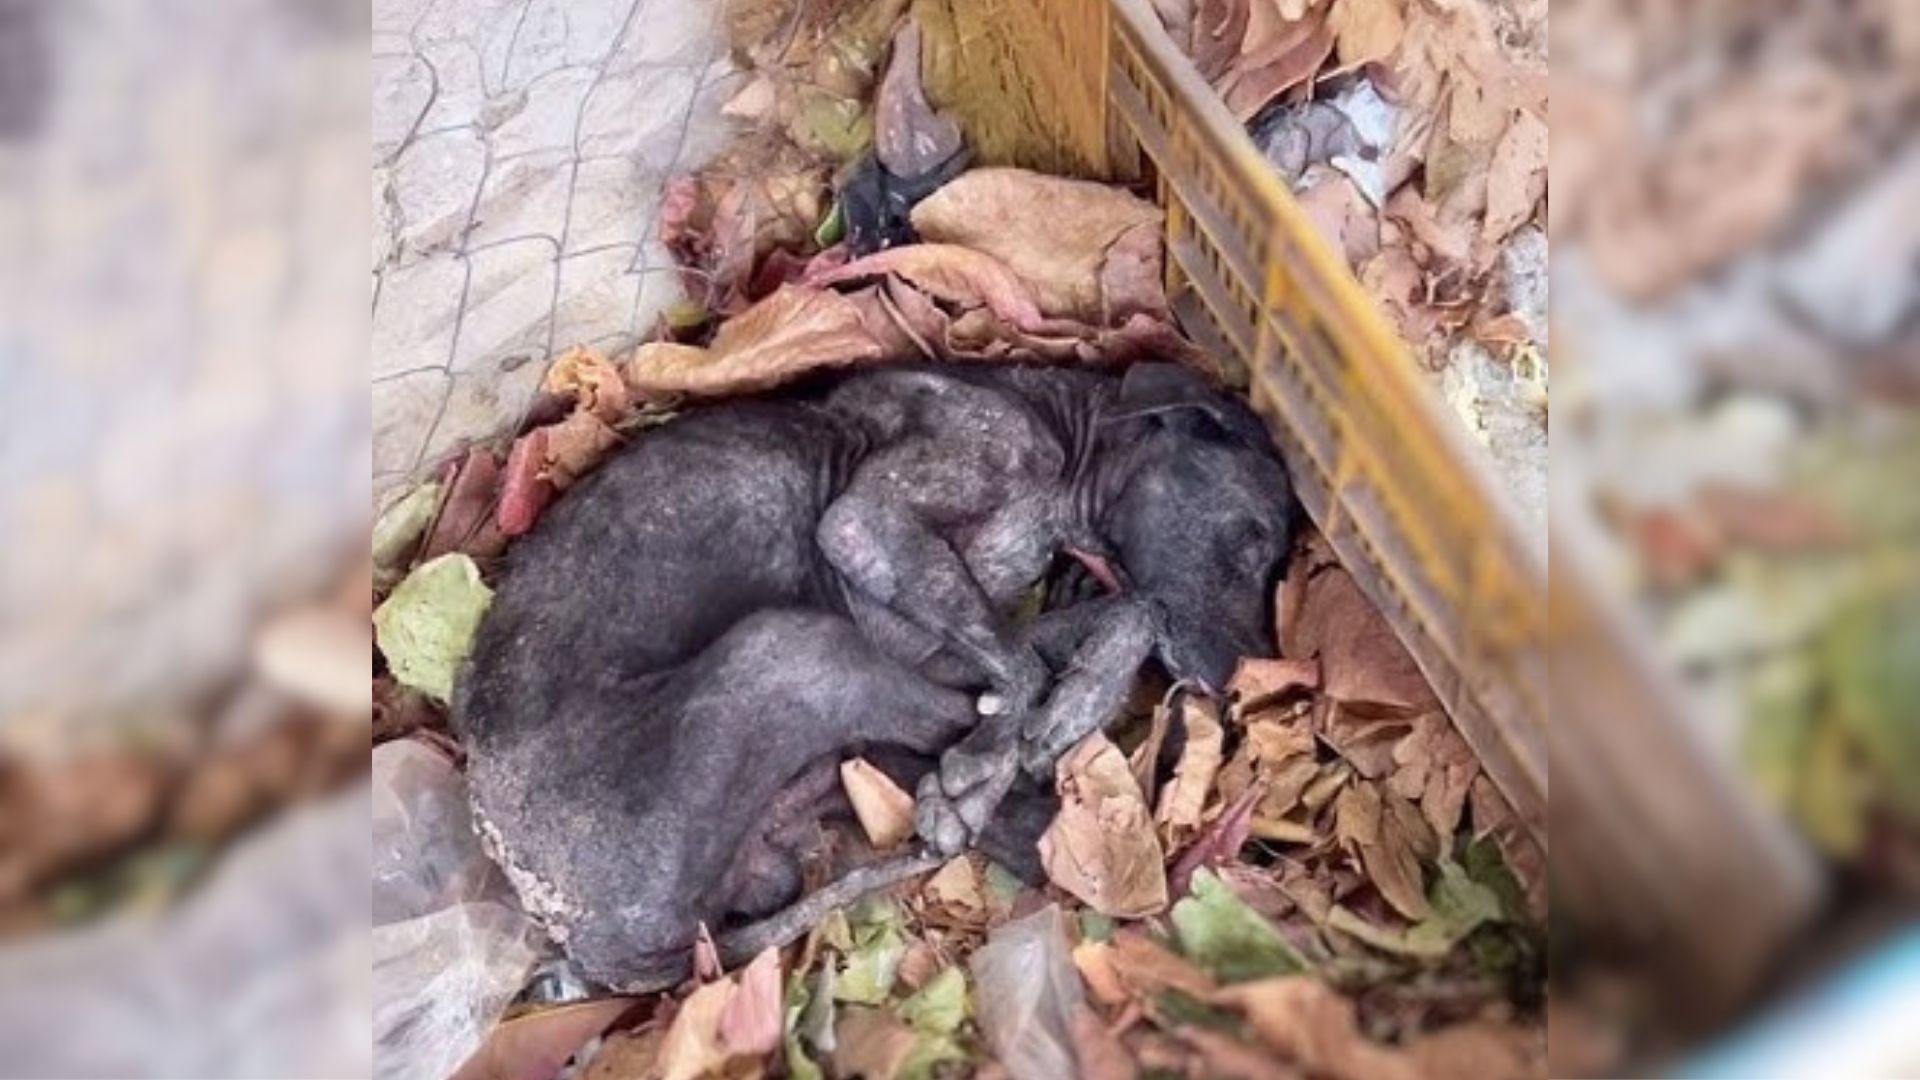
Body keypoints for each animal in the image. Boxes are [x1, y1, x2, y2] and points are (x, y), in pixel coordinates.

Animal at [451, 359, 1297, 983]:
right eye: (1255, 537)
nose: (1240, 686)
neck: (1065, 433)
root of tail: (595, 947)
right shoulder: (867, 536)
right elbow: (1032, 666)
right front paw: (1034, 730)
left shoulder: (928, 630)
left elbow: (1121, 615)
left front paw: (1083, 689)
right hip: (793, 649)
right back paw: (983, 788)